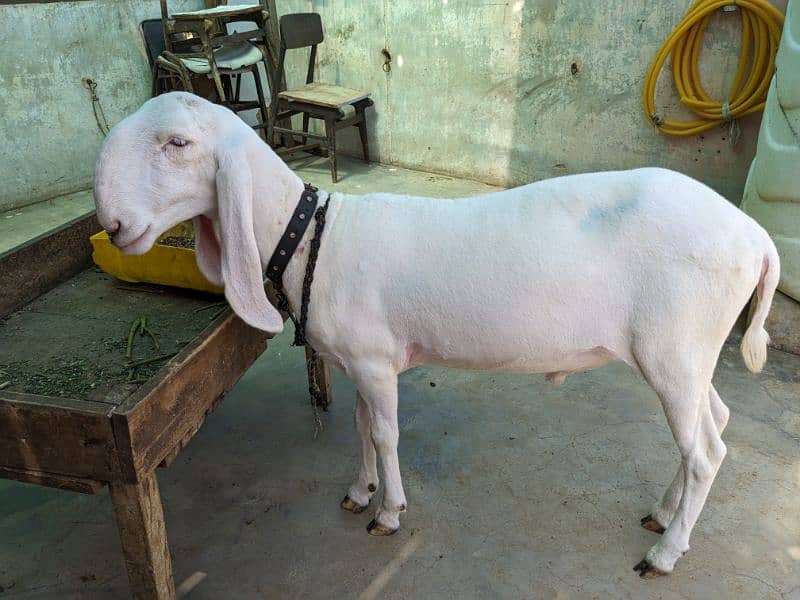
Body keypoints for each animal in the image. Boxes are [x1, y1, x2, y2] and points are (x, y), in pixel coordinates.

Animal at [95, 92, 780, 576]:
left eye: (178, 142)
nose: (116, 225)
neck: (313, 234)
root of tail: (756, 237)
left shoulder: (375, 362)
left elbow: (388, 434)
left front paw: (389, 514)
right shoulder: (358, 360)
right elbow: (361, 426)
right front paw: (360, 490)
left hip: (673, 349)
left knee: (706, 452)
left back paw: (665, 553)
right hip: (690, 352)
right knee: (712, 426)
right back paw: (663, 516)